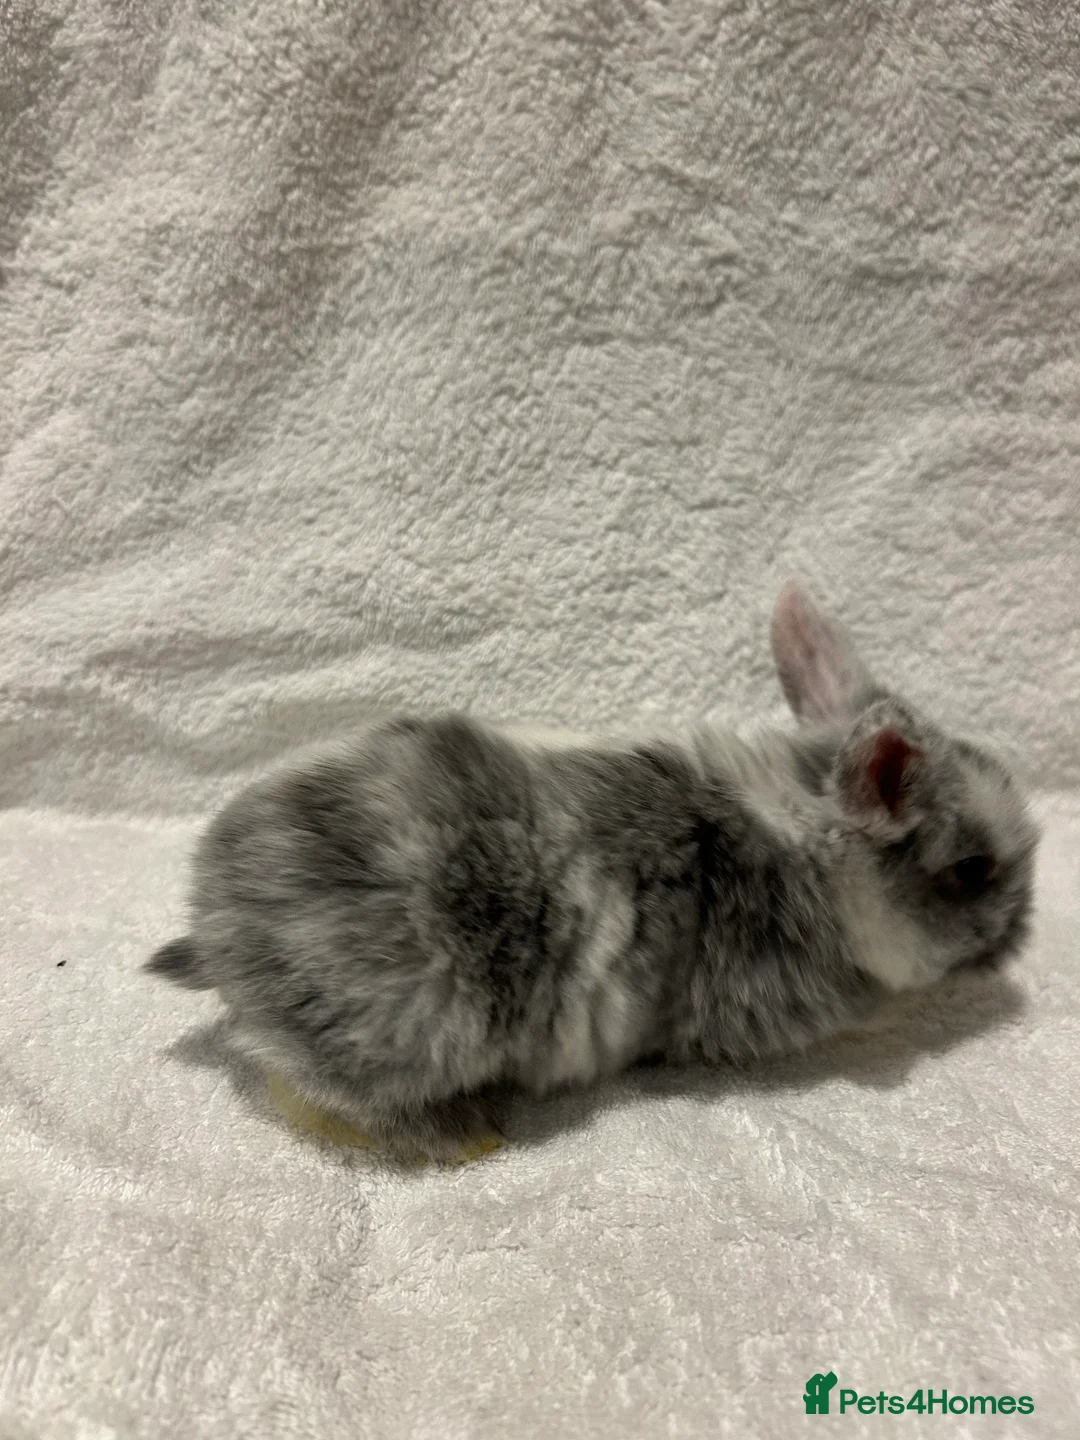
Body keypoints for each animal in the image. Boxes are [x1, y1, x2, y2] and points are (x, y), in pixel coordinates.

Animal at [146, 583, 1038, 1162]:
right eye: (972, 870)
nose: (1022, 937)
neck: (806, 841)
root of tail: (217, 933)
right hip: (409, 1032)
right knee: (309, 1097)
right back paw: (468, 1139)